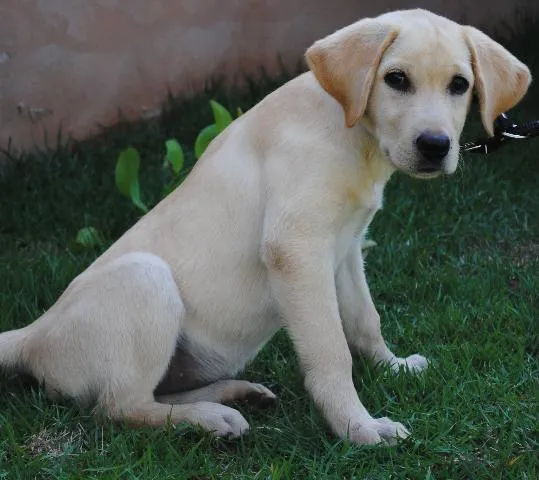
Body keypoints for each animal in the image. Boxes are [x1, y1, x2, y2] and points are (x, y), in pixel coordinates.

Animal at [0, 9, 532, 444]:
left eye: (459, 85)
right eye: (395, 79)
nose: (435, 145)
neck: (350, 132)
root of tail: (32, 334)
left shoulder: (346, 248)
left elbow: (365, 320)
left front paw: (392, 367)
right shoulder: (297, 249)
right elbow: (332, 352)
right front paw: (357, 427)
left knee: (148, 394)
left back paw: (231, 396)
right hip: (145, 278)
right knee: (118, 406)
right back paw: (208, 419)